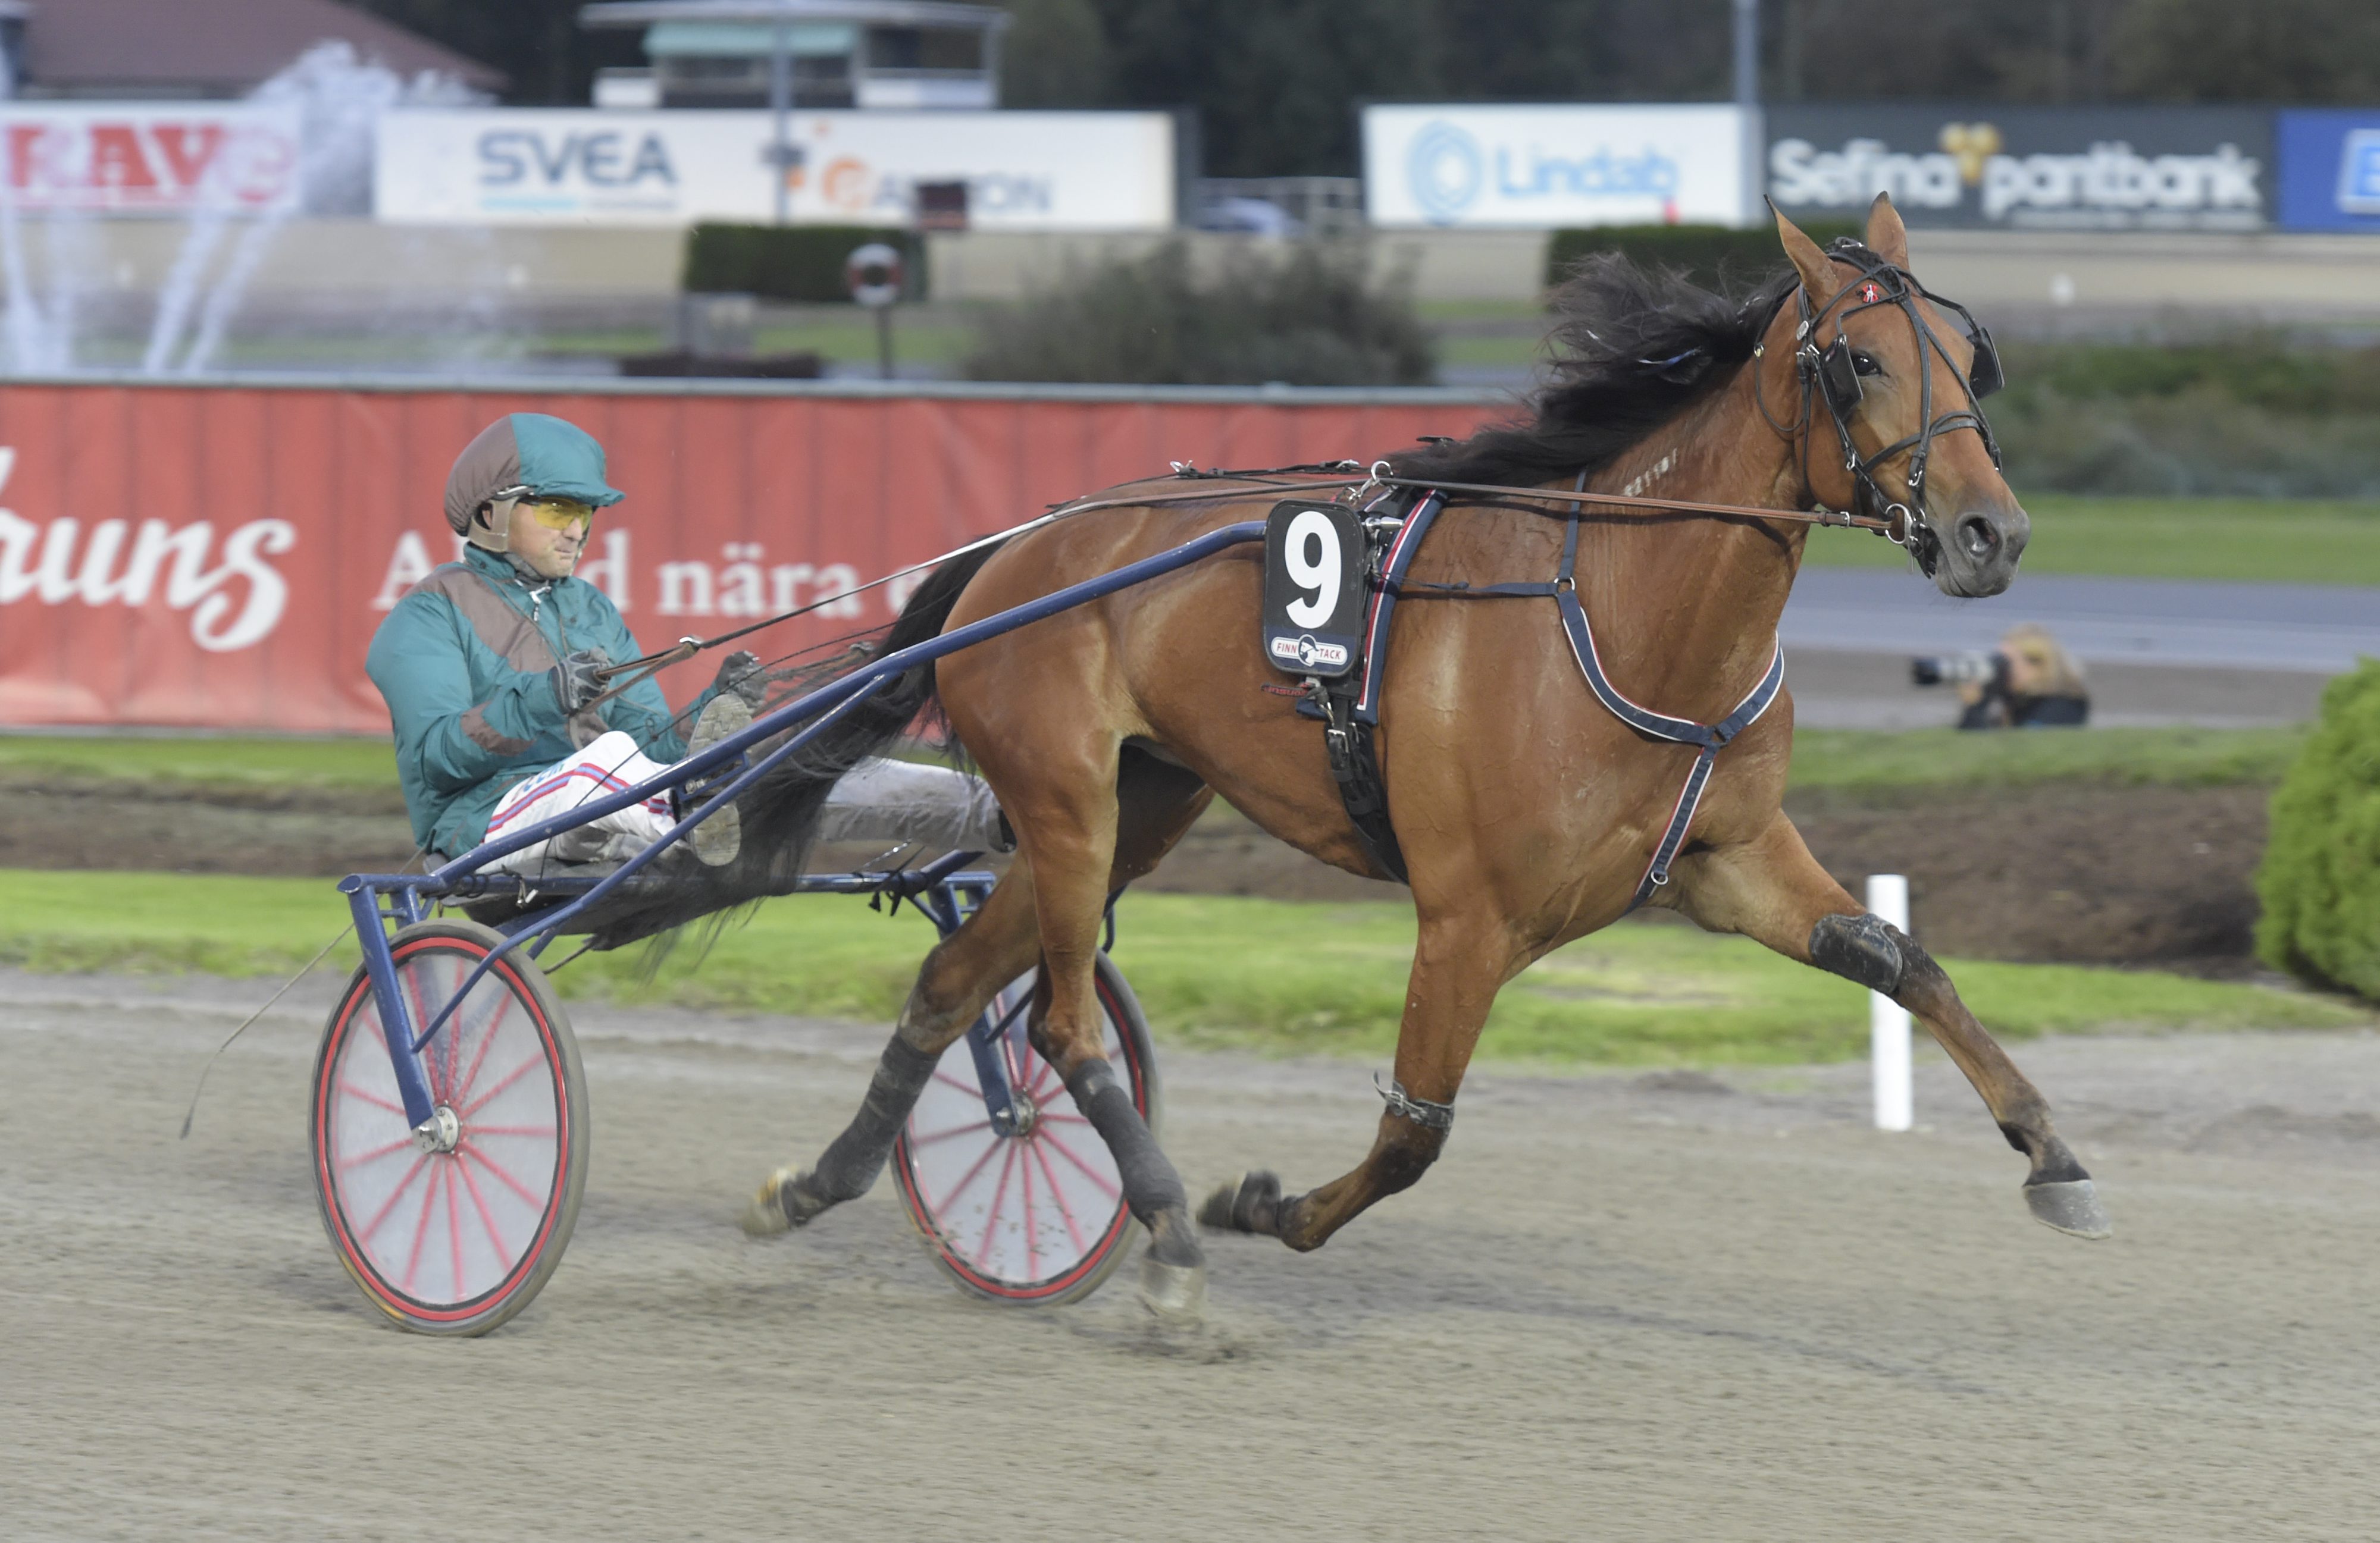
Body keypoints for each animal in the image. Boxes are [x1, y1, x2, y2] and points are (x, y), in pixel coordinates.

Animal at [719, 199, 2104, 1324]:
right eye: (1861, 360)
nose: (1990, 532)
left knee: (953, 981)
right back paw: (1164, 1233)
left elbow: (1902, 959)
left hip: (1138, 808)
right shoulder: (1469, 918)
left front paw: (2054, 1153)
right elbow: (1410, 1137)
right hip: (1065, 801)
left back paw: (817, 1183)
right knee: (1060, 1023)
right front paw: (1255, 1204)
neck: (1624, 619)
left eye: (1970, 356)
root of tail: (1013, 553)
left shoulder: (1732, 858)